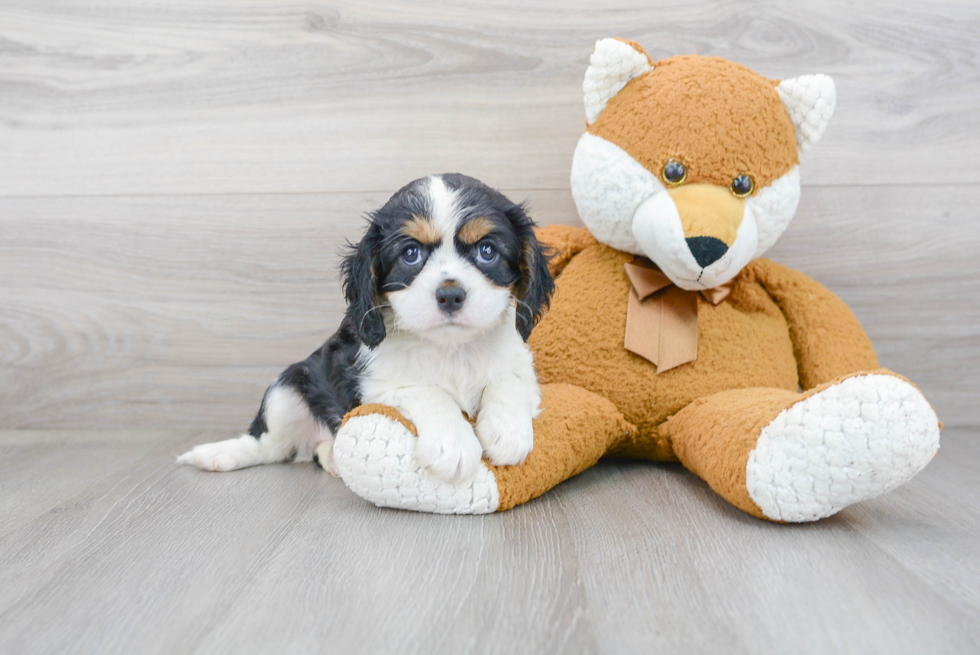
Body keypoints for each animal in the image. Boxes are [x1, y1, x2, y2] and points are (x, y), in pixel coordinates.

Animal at [179, 174, 556, 482]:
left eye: (487, 251)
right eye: (411, 254)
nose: (450, 295)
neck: (450, 348)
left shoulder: (521, 363)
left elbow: (508, 379)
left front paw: (507, 431)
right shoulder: (370, 383)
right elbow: (426, 391)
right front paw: (453, 443)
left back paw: (331, 457)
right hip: (287, 386)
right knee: (269, 445)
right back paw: (220, 454)